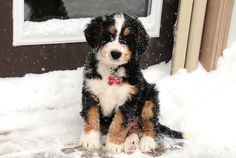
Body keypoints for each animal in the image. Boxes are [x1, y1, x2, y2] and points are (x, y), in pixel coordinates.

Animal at [80, 12, 187, 154]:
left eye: (127, 39)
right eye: (108, 35)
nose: (116, 53)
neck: (112, 70)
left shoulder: (129, 99)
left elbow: (119, 123)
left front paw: (114, 144)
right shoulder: (90, 92)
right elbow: (91, 117)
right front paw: (90, 140)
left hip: (150, 99)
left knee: (150, 125)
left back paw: (146, 142)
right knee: (135, 129)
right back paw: (130, 143)